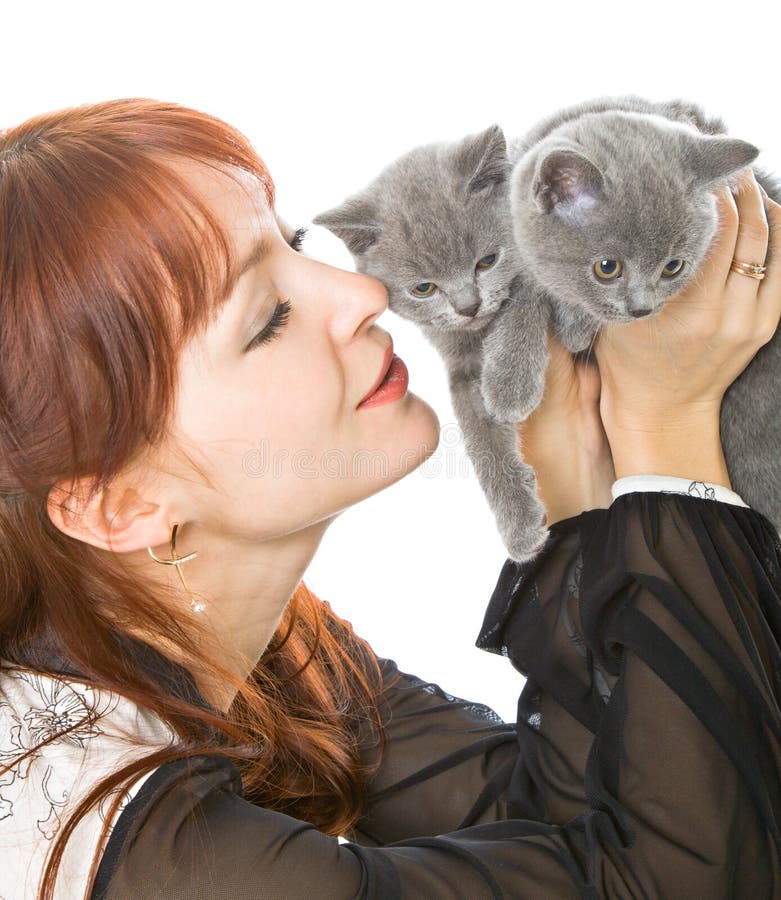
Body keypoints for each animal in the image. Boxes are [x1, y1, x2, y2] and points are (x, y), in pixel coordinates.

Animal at [484, 95, 776, 540]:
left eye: (673, 267)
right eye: (607, 268)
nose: (642, 308)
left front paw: (572, 326)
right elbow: (524, 288)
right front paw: (510, 379)